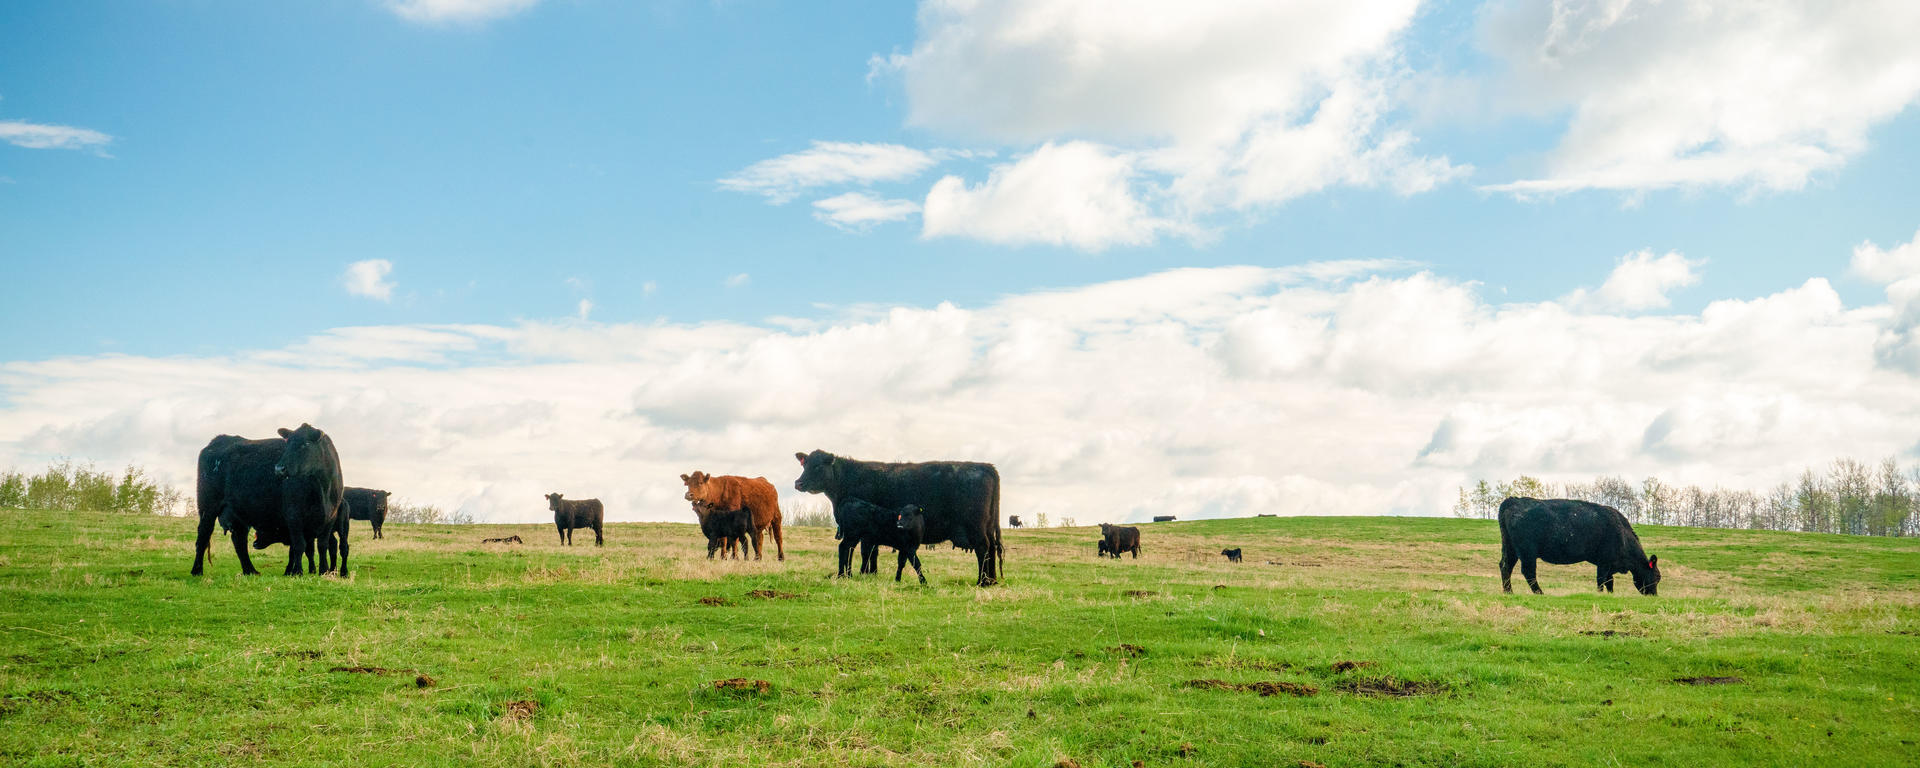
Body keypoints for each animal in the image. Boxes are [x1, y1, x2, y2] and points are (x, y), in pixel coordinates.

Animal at [194, 422, 349, 579]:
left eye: (305, 444)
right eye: (287, 444)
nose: (279, 468)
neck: (322, 489)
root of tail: (218, 440)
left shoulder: (330, 518)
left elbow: (323, 545)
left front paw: (324, 571)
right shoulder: (293, 517)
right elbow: (299, 545)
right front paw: (297, 572)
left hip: (238, 513)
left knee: (239, 540)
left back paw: (250, 570)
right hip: (208, 507)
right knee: (203, 535)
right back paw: (197, 570)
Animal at [794, 449, 1006, 587]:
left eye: (817, 466)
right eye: (805, 464)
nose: (798, 483)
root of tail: (986, 467)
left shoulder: (867, 532)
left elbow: (867, 552)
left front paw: (866, 574)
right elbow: (872, 552)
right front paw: (871, 574)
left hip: (976, 528)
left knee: (983, 549)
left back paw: (981, 581)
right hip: (987, 527)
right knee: (992, 549)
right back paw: (992, 580)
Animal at [1489, 495, 1658, 595]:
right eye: (1657, 577)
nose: (1654, 595)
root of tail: (1514, 500)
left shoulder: (1609, 564)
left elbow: (1609, 582)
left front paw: (1610, 595)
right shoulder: (1604, 562)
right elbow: (1601, 579)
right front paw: (1599, 594)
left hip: (1510, 548)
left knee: (1505, 566)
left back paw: (1508, 591)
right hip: (1527, 552)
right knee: (1528, 572)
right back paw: (1539, 592)